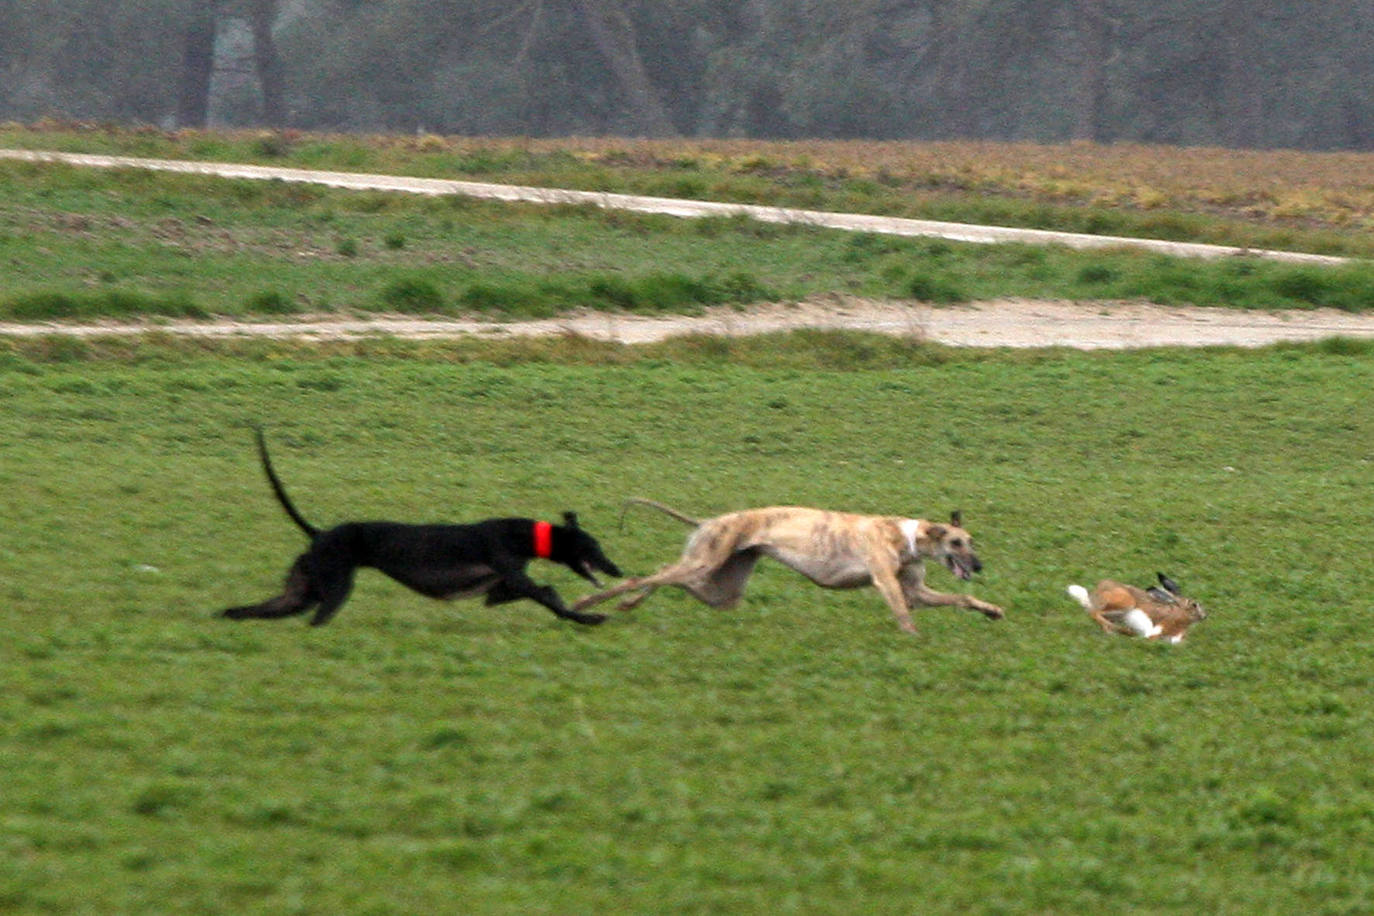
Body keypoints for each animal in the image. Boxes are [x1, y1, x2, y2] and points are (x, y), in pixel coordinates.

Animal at [221, 431, 623, 623]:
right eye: (594, 547)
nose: (618, 570)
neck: (522, 536)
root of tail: (319, 534)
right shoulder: (510, 571)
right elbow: (549, 596)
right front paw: (589, 618)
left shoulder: (498, 591)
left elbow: (544, 591)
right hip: (333, 589)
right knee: (318, 618)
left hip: (300, 592)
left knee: (252, 610)